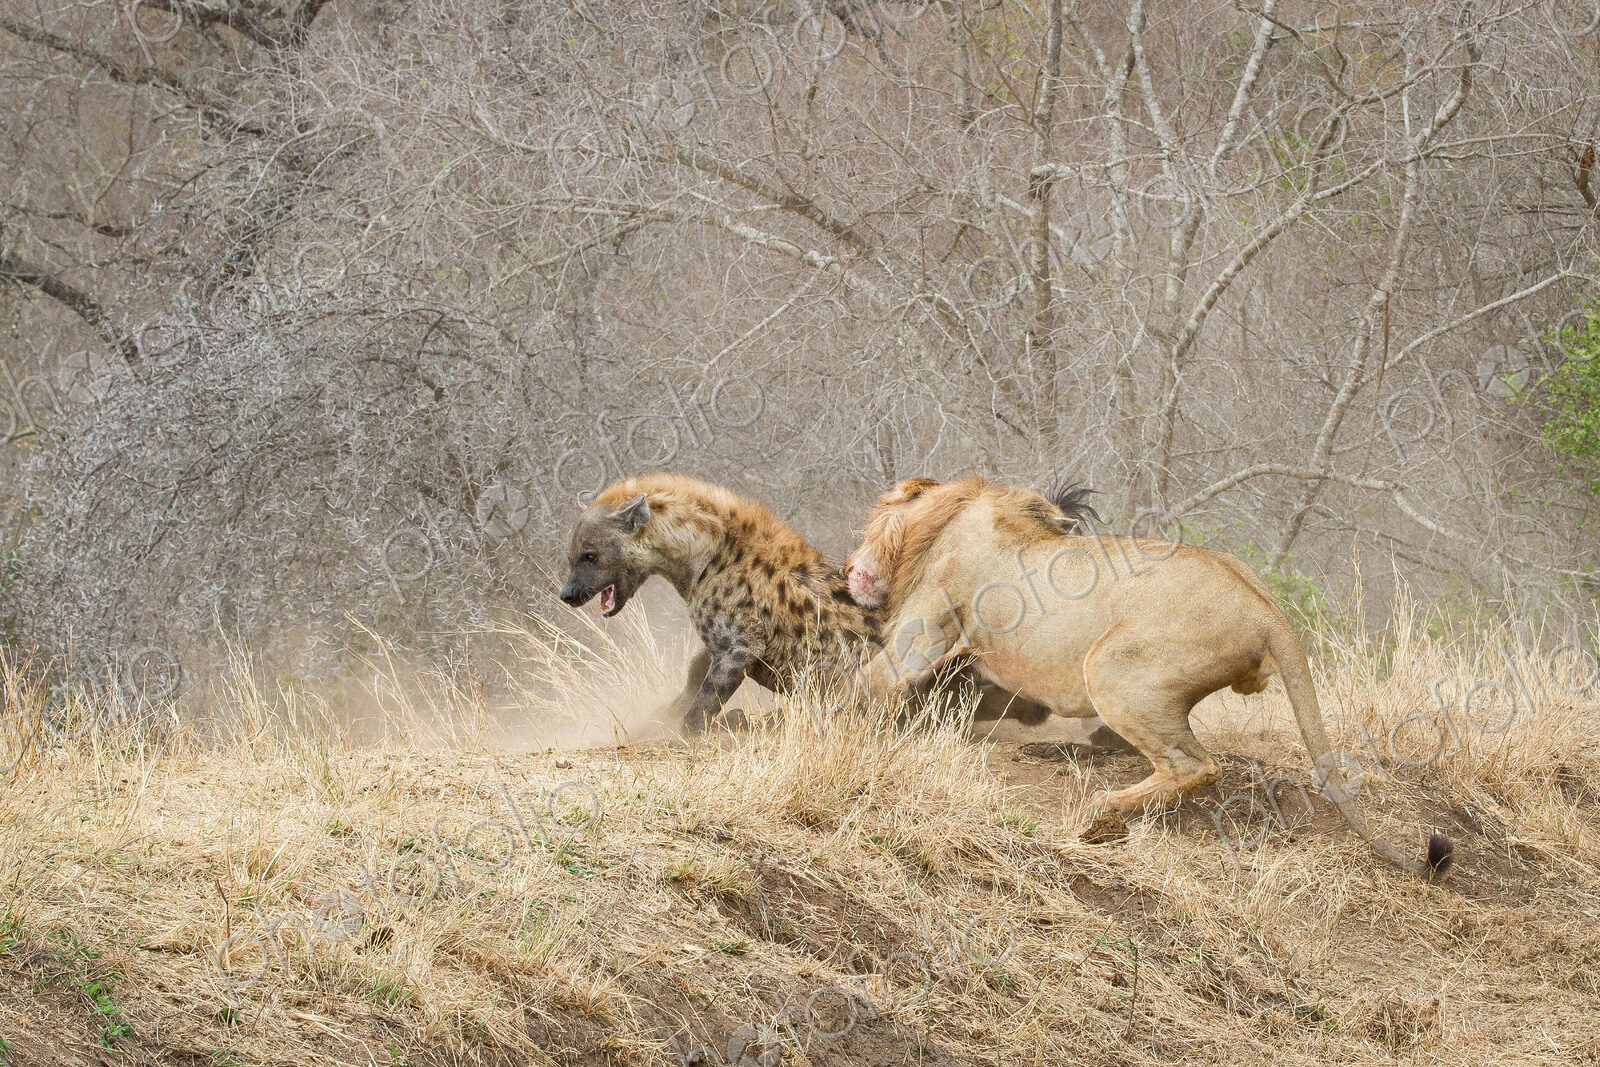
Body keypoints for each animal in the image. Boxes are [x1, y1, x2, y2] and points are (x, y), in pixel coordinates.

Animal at [843, 476, 1453, 880]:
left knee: (1196, 765)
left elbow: (869, 682)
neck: (958, 510)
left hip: (1111, 669)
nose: (848, 568)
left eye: (868, 524)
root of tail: (1267, 611)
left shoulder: (925, 629)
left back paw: (1101, 816)